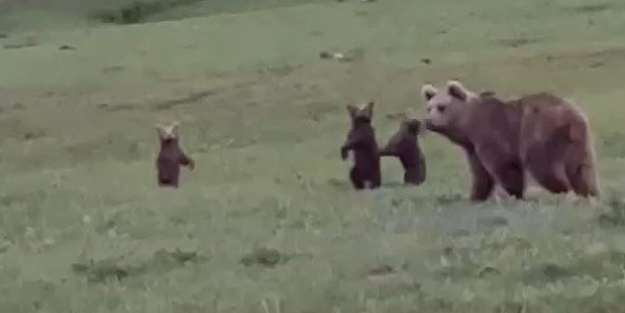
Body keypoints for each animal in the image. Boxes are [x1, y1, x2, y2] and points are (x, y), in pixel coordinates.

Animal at [422, 78, 596, 200]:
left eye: (441, 107)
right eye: (429, 107)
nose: (429, 121)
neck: (469, 126)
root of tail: (572, 117)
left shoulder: (493, 136)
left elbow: (504, 167)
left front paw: (515, 194)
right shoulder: (472, 148)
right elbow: (481, 174)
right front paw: (475, 196)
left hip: (539, 135)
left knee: (545, 168)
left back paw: (564, 192)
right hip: (579, 142)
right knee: (582, 170)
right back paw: (590, 194)